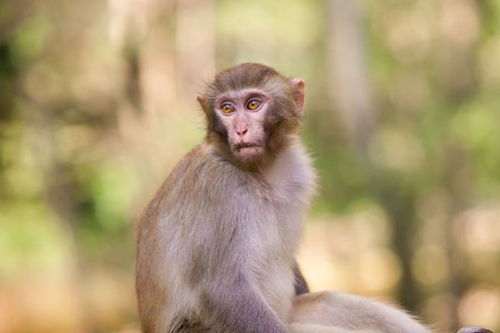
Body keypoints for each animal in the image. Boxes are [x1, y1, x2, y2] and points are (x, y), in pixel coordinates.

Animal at [136, 63, 488, 332]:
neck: (260, 173)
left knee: (328, 302)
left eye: (253, 105)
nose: (240, 130)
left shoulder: (298, 175)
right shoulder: (216, 188)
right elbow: (223, 288)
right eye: (226, 109)